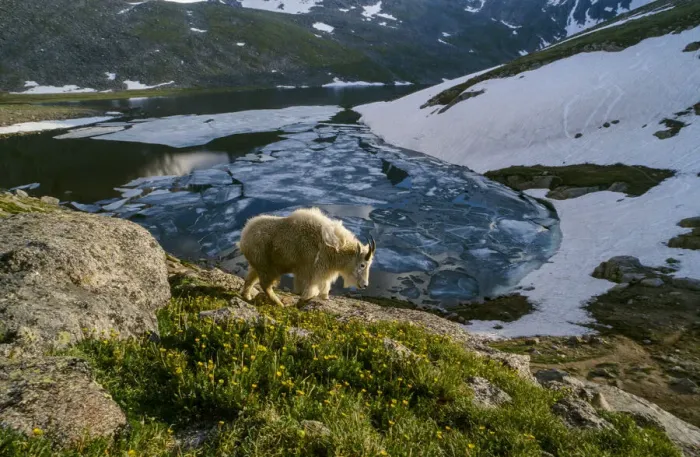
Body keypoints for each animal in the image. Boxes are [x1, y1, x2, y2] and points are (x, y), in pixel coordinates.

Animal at [239, 207, 376, 306]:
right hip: (266, 266)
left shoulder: (322, 273)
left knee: (250, 279)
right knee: (265, 285)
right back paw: (279, 304)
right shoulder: (310, 271)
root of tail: (244, 235)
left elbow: (324, 289)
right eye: (362, 265)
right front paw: (303, 300)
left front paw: (324, 298)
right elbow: (309, 290)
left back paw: (247, 296)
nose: (365, 285)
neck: (334, 248)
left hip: (258, 264)